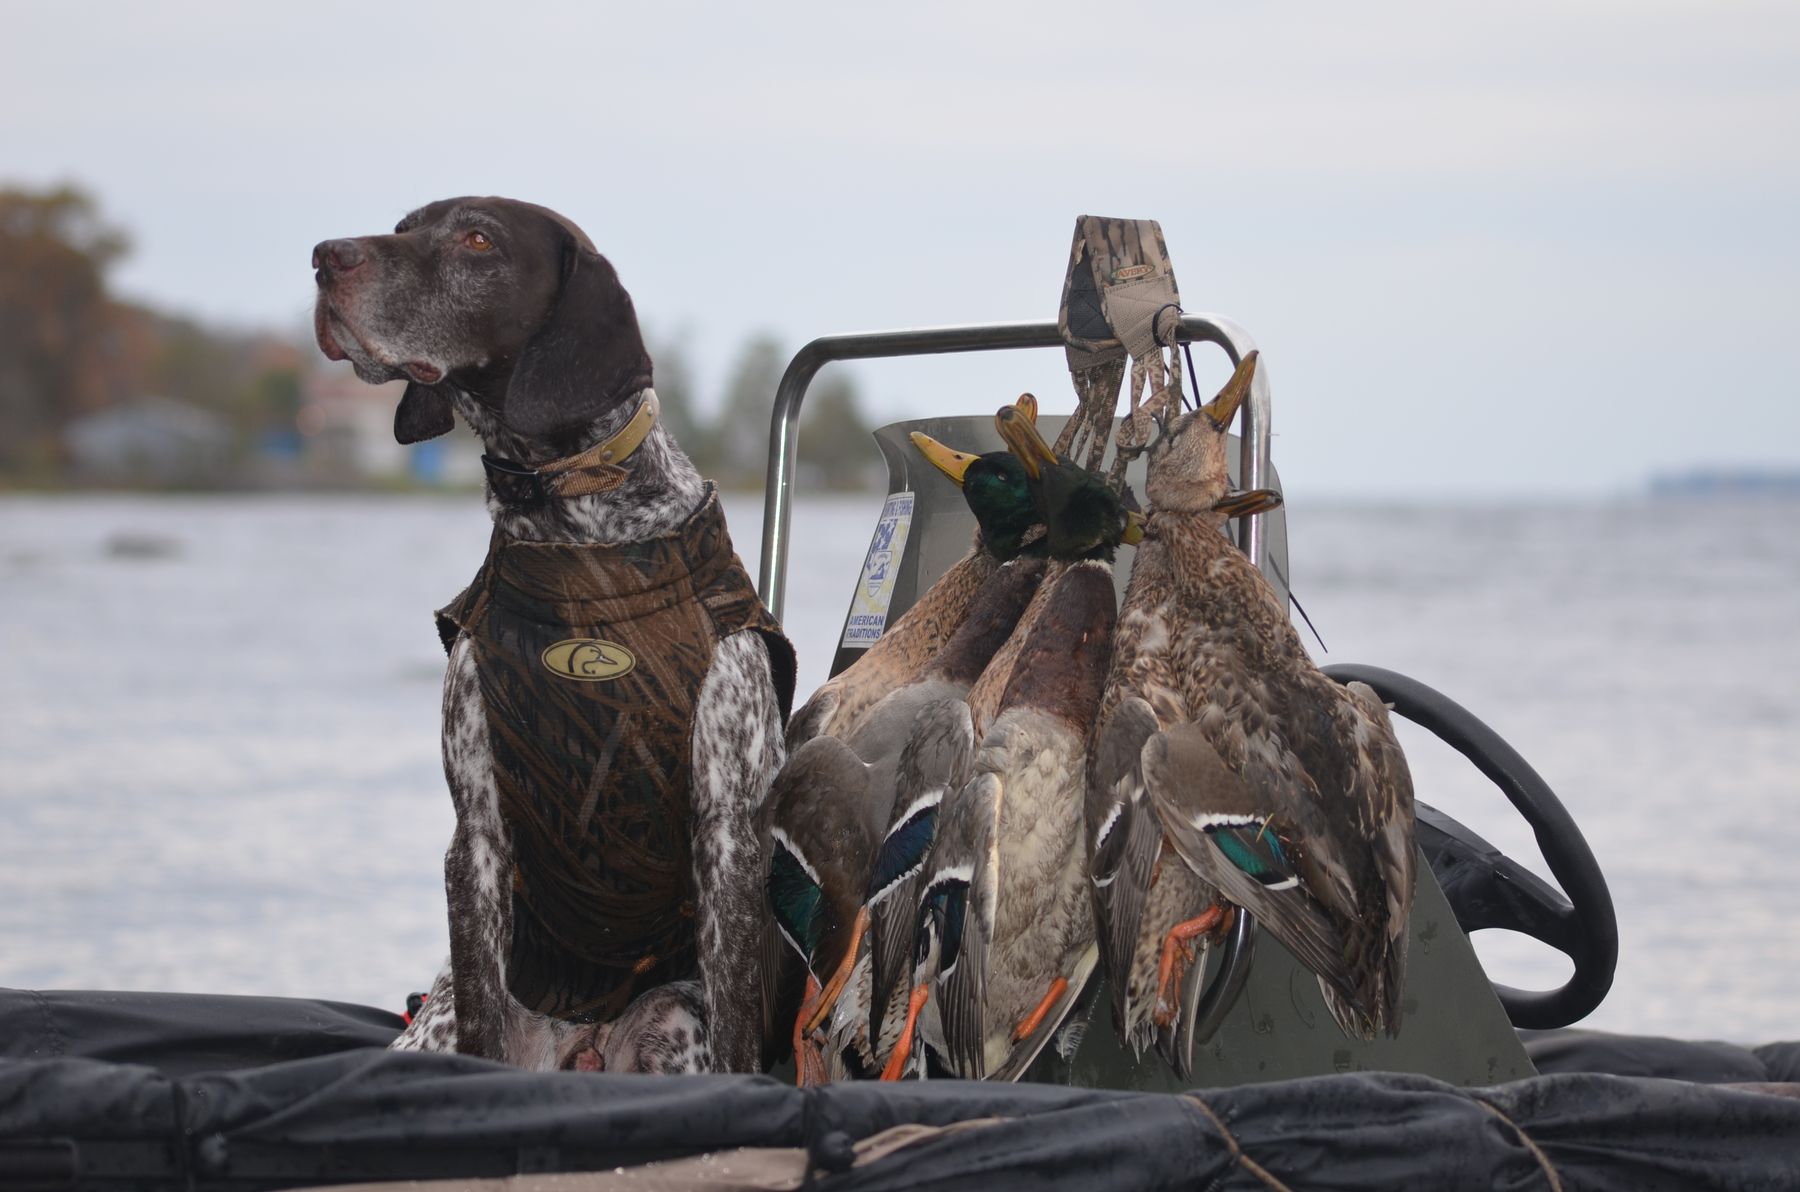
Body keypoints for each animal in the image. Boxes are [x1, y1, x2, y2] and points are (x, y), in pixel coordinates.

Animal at [313, 196, 792, 1073]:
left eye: (478, 240)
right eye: (403, 225)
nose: (326, 257)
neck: (577, 540)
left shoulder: (728, 835)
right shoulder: (477, 836)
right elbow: (479, 1018)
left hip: (669, 1020)